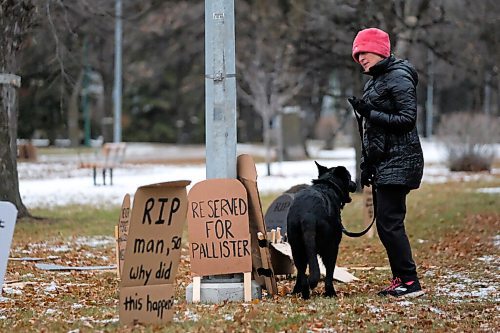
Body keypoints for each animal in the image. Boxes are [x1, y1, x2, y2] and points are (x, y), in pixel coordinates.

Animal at [288, 161, 358, 298]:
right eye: (349, 177)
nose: (355, 184)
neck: (327, 184)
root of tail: (308, 215)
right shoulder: (333, 246)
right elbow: (329, 272)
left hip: (296, 248)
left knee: (302, 272)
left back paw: (304, 294)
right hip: (330, 248)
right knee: (329, 271)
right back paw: (331, 293)